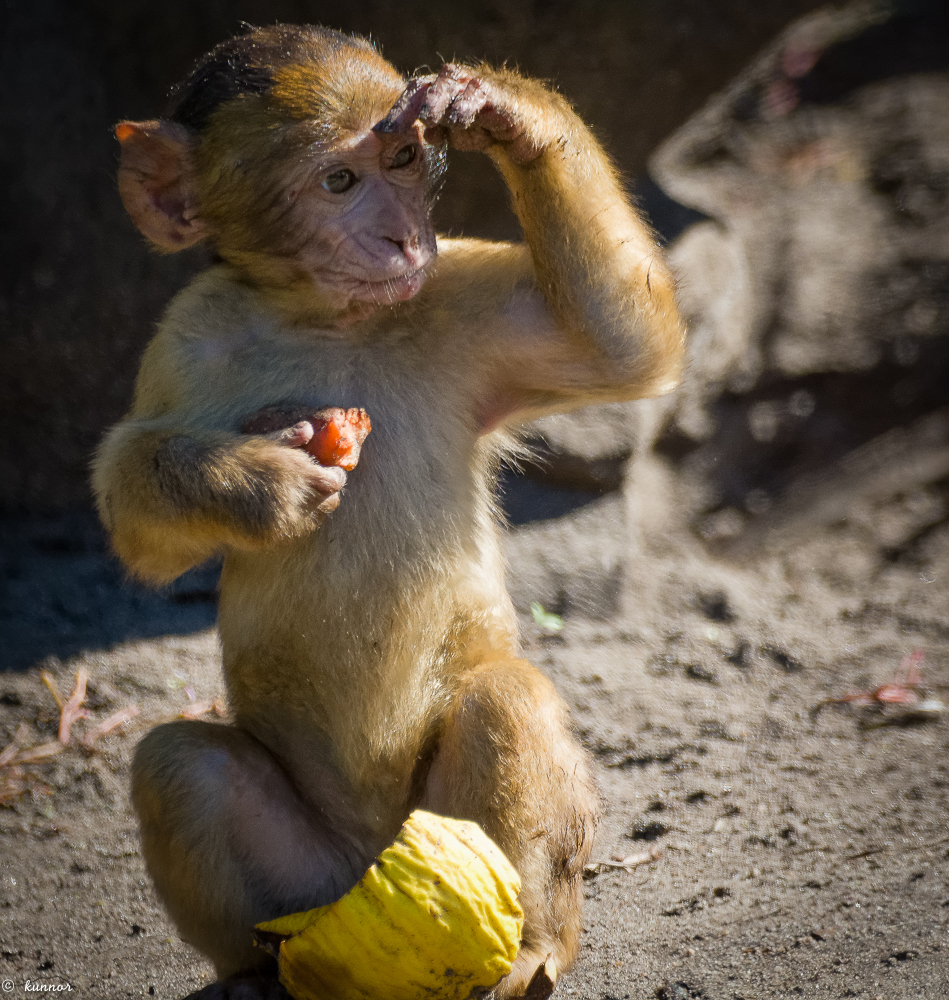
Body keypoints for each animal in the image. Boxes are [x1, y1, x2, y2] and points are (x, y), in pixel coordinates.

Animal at [92, 23, 684, 1000]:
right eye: (339, 182)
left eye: (404, 160)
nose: (403, 238)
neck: (328, 321)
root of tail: (370, 858)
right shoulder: (185, 339)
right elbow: (138, 529)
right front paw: (256, 480)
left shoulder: (457, 296)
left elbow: (619, 346)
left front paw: (501, 113)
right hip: (306, 880)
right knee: (179, 765)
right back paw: (253, 973)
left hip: (442, 835)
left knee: (505, 700)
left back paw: (528, 952)